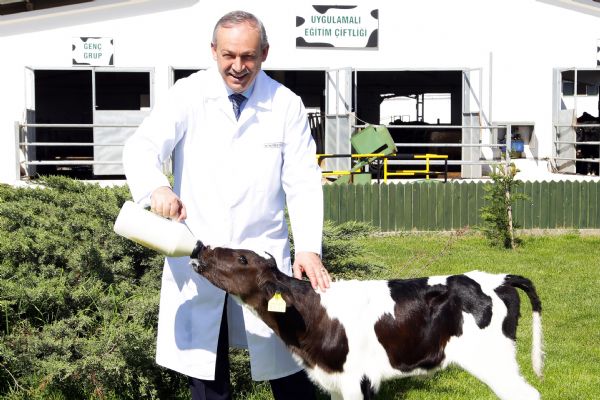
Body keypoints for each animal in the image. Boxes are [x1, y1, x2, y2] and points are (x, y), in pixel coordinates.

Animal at [190, 242, 543, 400]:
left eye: (242, 258)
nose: (201, 247)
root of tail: (498, 278)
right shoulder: (335, 379)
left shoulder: (356, 378)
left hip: (493, 359)